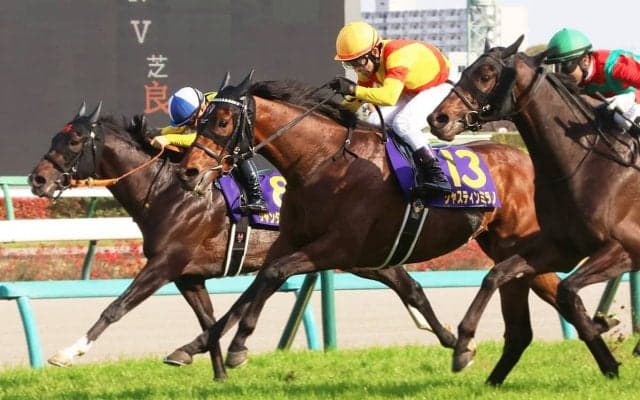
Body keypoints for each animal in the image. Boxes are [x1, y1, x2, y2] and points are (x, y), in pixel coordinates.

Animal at [28, 103, 474, 373]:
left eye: (72, 140)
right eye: (52, 138)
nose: (37, 179)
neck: (170, 190)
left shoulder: (165, 264)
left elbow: (115, 307)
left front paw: (69, 352)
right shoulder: (188, 275)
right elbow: (209, 319)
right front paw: (216, 370)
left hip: (345, 251)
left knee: (406, 284)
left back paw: (450, 339)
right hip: (356, 255)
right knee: (407, 283)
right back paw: (449, 337)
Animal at [163, 72, 566, 384]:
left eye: (222, 122)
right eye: (199, 121)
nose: (189, 172)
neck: (321, 161)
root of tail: (525, 160)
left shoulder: (339, 247)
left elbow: (273, 274)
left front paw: (238, 346)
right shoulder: (291, 240)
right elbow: (253, 287)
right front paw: (191, 348)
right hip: (504, 246)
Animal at [427, 35, 640, 381]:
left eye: (486, 74)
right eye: (465, 70)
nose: (438, 118)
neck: (586, 164)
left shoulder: (625, 248)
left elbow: (567, 290)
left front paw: (603, 340)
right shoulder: (560, 247)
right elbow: (496, 275)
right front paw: (463, 346)